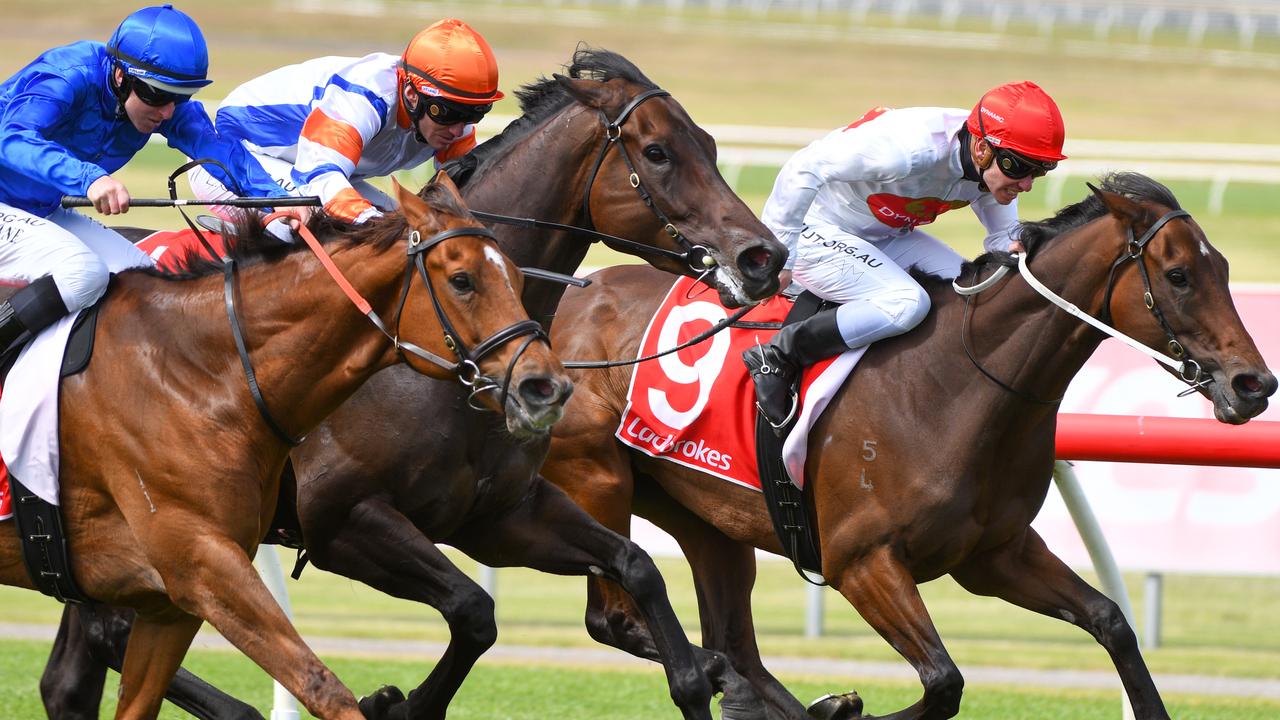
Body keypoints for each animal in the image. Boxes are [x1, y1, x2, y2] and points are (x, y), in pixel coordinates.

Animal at [0, 175, 570, 717]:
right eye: (462, 280)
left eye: (517, 277)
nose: (547, 387)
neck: (198, 371)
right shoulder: (226, 557)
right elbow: (327, 684)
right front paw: (394, 704)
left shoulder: (171, 601)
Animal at [537, 174, 1269, 717]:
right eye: (1178, 275)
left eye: (1225, 268)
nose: (1254, 383)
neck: (957, 382)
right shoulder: (862, 562)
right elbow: (944, 682)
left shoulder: (994, 554)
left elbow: (1111, 621)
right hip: (597, 479)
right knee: (619, 621)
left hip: (704, 516)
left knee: (734, 643)